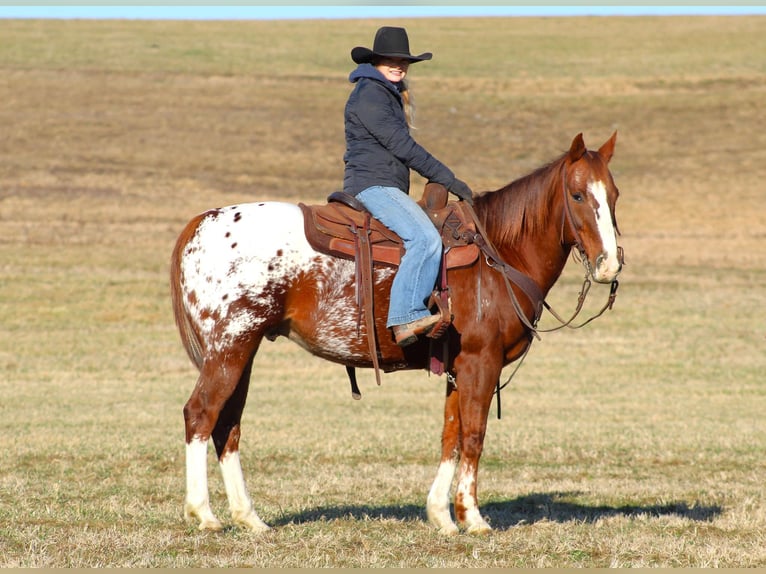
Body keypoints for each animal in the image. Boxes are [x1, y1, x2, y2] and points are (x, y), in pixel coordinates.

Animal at [170, 133, 624, 536]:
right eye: (578, 195)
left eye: (614, 195)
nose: (609, 264)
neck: (499, 254)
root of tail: (202, 223)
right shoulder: (481, 362)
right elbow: (473, 436)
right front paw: (473, 517)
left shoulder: (458, 367)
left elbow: (450, 436)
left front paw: (442, 516)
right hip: (230, 347)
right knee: (201, 414)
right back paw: (204, 514)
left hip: (242, 351)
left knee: (228, 424)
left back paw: (250, 518)